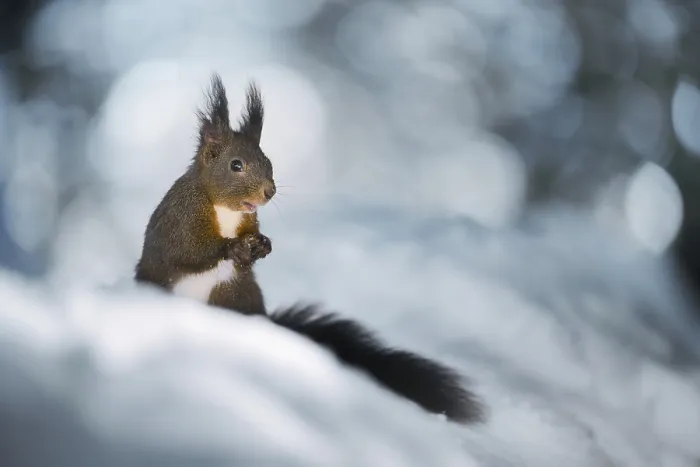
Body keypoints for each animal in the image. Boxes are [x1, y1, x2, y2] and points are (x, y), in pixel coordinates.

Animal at [134, 73, 485, 424]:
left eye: (268, 162)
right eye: (236, 165)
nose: (270, 192)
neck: (226, 210)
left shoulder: (249, 223)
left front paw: (262, 246)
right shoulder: (181, 219)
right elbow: (189, 251)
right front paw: (233, 247)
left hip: (238, 296)